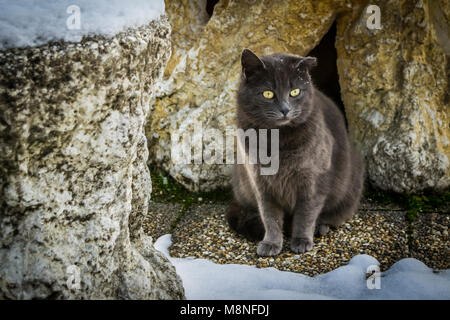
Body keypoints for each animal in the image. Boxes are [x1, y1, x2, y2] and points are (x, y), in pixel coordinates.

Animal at [227, 48, 364, 256]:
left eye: (295, 92)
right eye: (268, 93)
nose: (285, 109)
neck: (277, 141)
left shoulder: (313, 181)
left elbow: (306, 213)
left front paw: (301, 241)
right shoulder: (260, 183)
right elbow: (270, 216)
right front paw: (271, 243)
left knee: (337, 213)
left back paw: (321, 227)